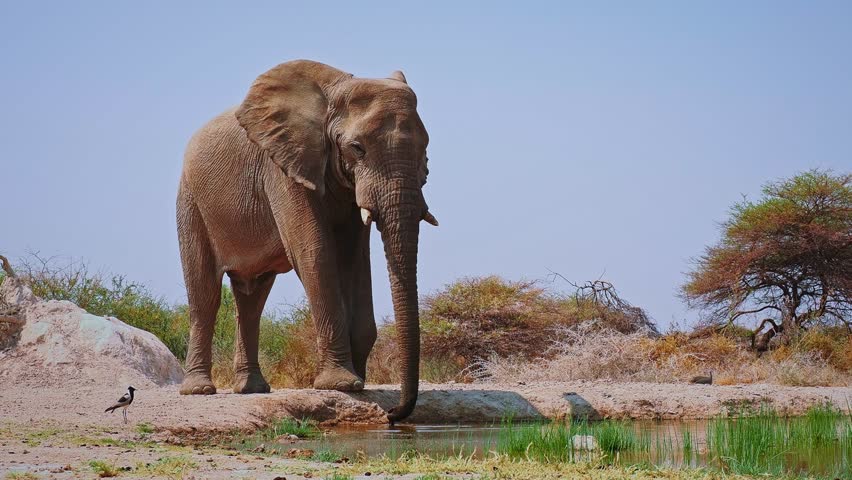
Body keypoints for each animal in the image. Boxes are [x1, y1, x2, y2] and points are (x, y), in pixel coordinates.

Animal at [176, 59, 436, 422]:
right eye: (357, 148)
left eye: (425, 150)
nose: (392, 414)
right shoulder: (283, 167)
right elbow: (315, 252)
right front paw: (343, 384)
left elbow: (356, 259)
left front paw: (358, 380)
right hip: (191, 201)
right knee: (205, 293)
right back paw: (199, 390)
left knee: (252, 299)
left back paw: (252, 389)